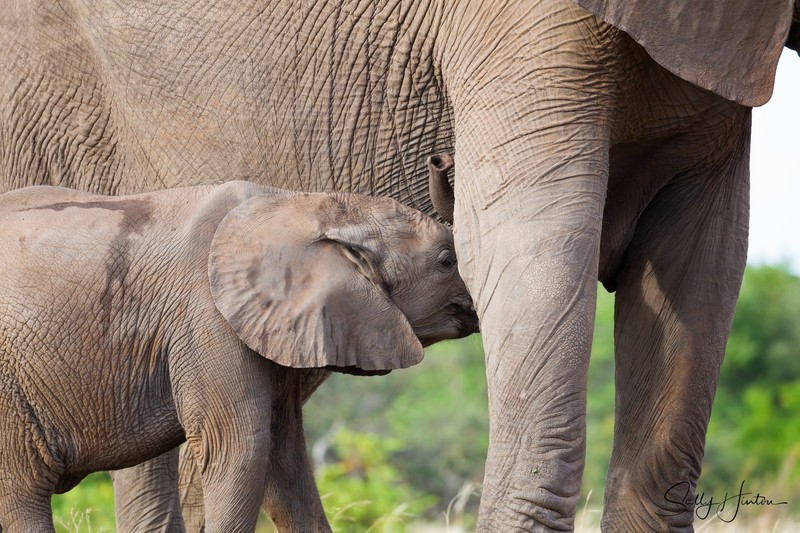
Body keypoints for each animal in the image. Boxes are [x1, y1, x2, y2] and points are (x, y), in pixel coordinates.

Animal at [0, 181, 479, 533]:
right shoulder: (207, 318)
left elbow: (285, 459)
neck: (303, 203)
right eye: (446, 261)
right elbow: (239, 449)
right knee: (22, 496)